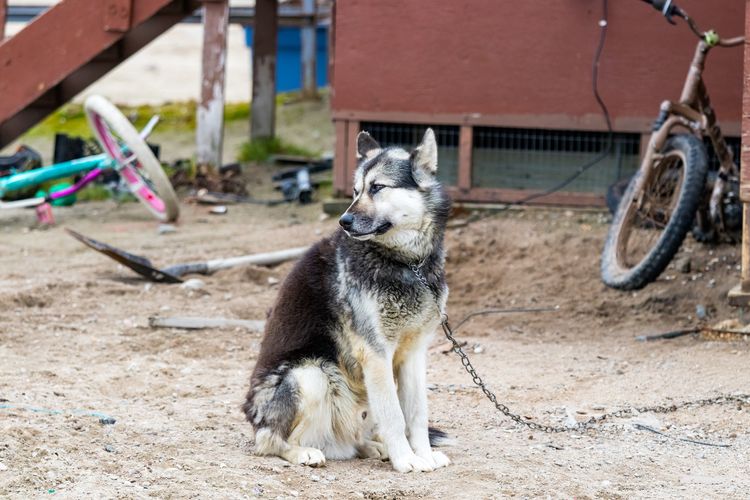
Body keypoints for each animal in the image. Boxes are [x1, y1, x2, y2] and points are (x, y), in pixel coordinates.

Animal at [245, 129, 452, 472]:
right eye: (356, 191)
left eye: (377, 187)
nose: (344, 221)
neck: (406, 263)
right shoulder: (376, 354)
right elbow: (394, 416)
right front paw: (406, 460)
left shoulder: (413, 355)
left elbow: (416, 414)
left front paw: (421, 455)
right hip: (309, 375)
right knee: (270, 440)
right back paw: (303, 452)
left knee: (356, 440)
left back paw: (372, 447)